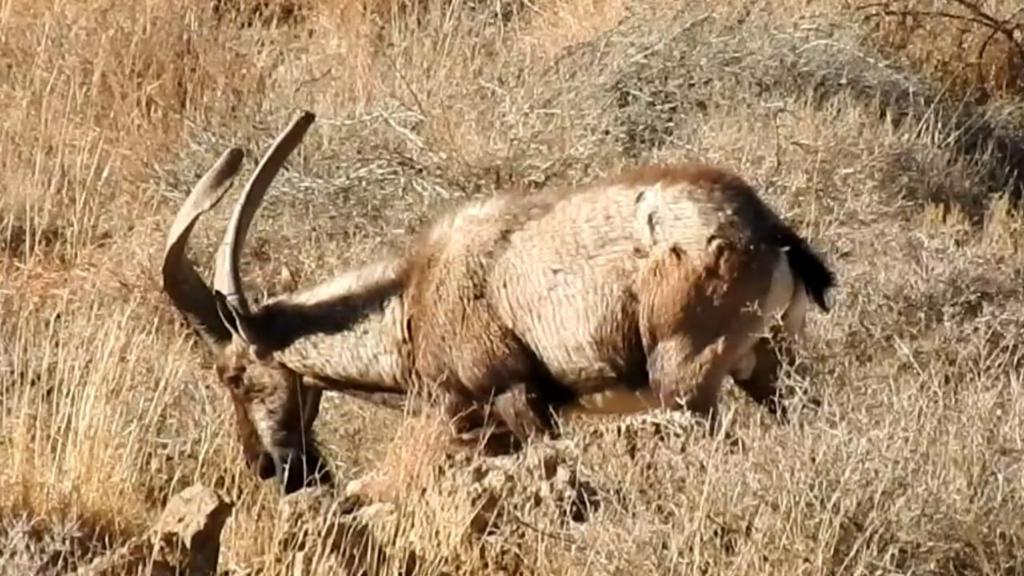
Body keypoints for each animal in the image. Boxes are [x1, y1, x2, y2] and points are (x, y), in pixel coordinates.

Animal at [159, 111, 831, 494]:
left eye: (233, 376)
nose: (270, 469)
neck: (411, 303)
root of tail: (766, 231)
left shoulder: (515, 397)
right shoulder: (486, 431)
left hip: (686, 378)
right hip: (767, 365)